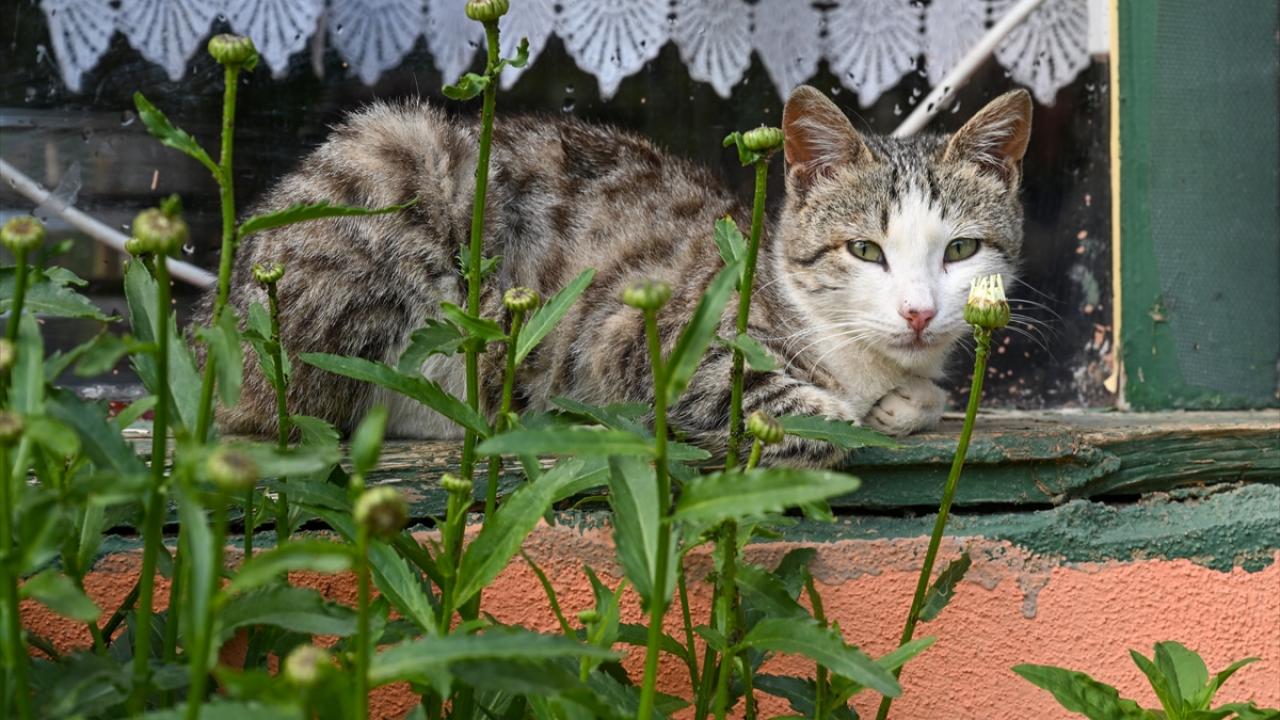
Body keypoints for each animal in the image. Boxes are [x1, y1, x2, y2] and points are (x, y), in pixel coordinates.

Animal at [205, 86, 1031, 466]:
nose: (919, 312)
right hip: (390, 162)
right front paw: (855, 410)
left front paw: (911, 400)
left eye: (960, 250)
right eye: (865, 251)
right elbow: (810, 419)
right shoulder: (631, 338)